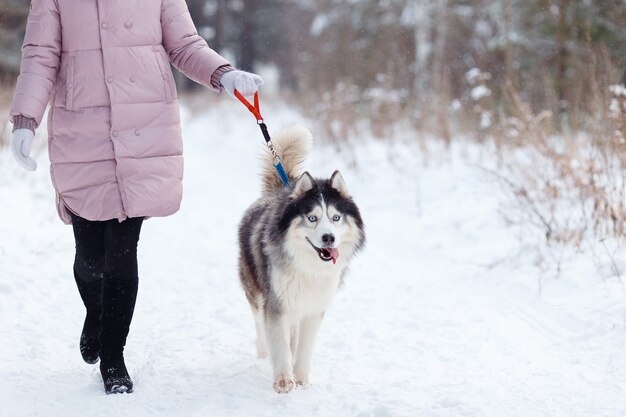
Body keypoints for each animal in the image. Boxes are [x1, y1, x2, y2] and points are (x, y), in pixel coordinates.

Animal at [239, 127, 366, 394]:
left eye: (336, 217)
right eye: (312, 218)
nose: (328, 238)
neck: (309, 268)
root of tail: (277, 192)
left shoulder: (314, 308)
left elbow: (305, 347)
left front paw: (301, 380)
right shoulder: (276, 305)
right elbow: (279, 343)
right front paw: (283, 381)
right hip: (256, 292)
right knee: (260, 326)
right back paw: (263, 355)